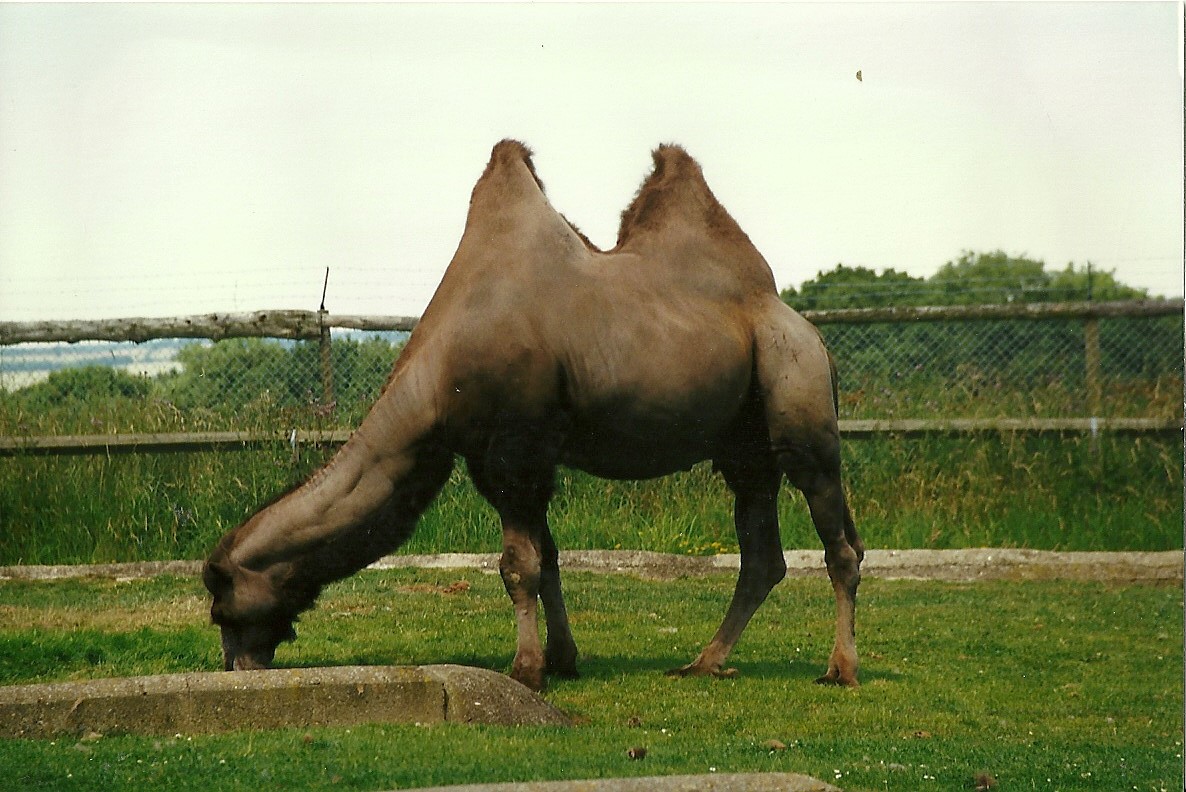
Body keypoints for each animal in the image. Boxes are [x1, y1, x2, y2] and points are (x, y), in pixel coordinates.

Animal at [203, 140, 865, 691]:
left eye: (222, 606)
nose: (235, 666)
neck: (436, 384)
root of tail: (803, 326)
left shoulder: (515, 452)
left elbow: (518, 566)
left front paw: (525, 670)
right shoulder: (509, 460)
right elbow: (547, 563)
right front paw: (563, 660)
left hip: (798, 398)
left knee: (838, 540)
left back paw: (840, 669)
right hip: (743, 449)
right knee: (762, 556)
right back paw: (703, 662)